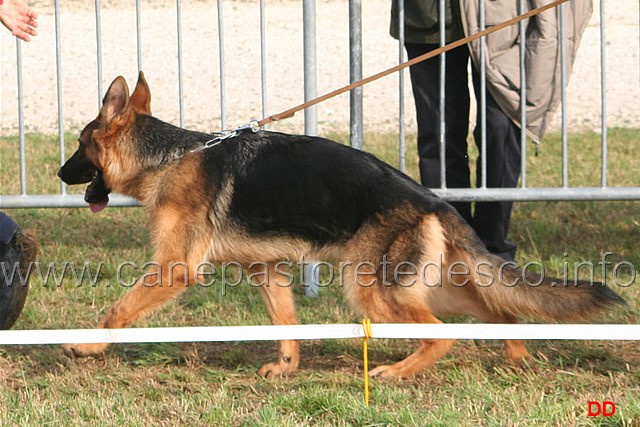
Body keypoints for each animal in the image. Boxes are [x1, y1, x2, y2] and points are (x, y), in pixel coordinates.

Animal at [57, 72, 624, 378]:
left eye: (79, 146)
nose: (59, 174)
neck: (168, 156)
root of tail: (434, 203)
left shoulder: (173, 269)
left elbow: (118, 309)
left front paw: (86, 346)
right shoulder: (267, 271)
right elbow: (286, 323)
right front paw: (286, 368)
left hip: (373, 291)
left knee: (444, 334)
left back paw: (396, 373)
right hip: (432, 287)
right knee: (502, 311)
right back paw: (515, 357)